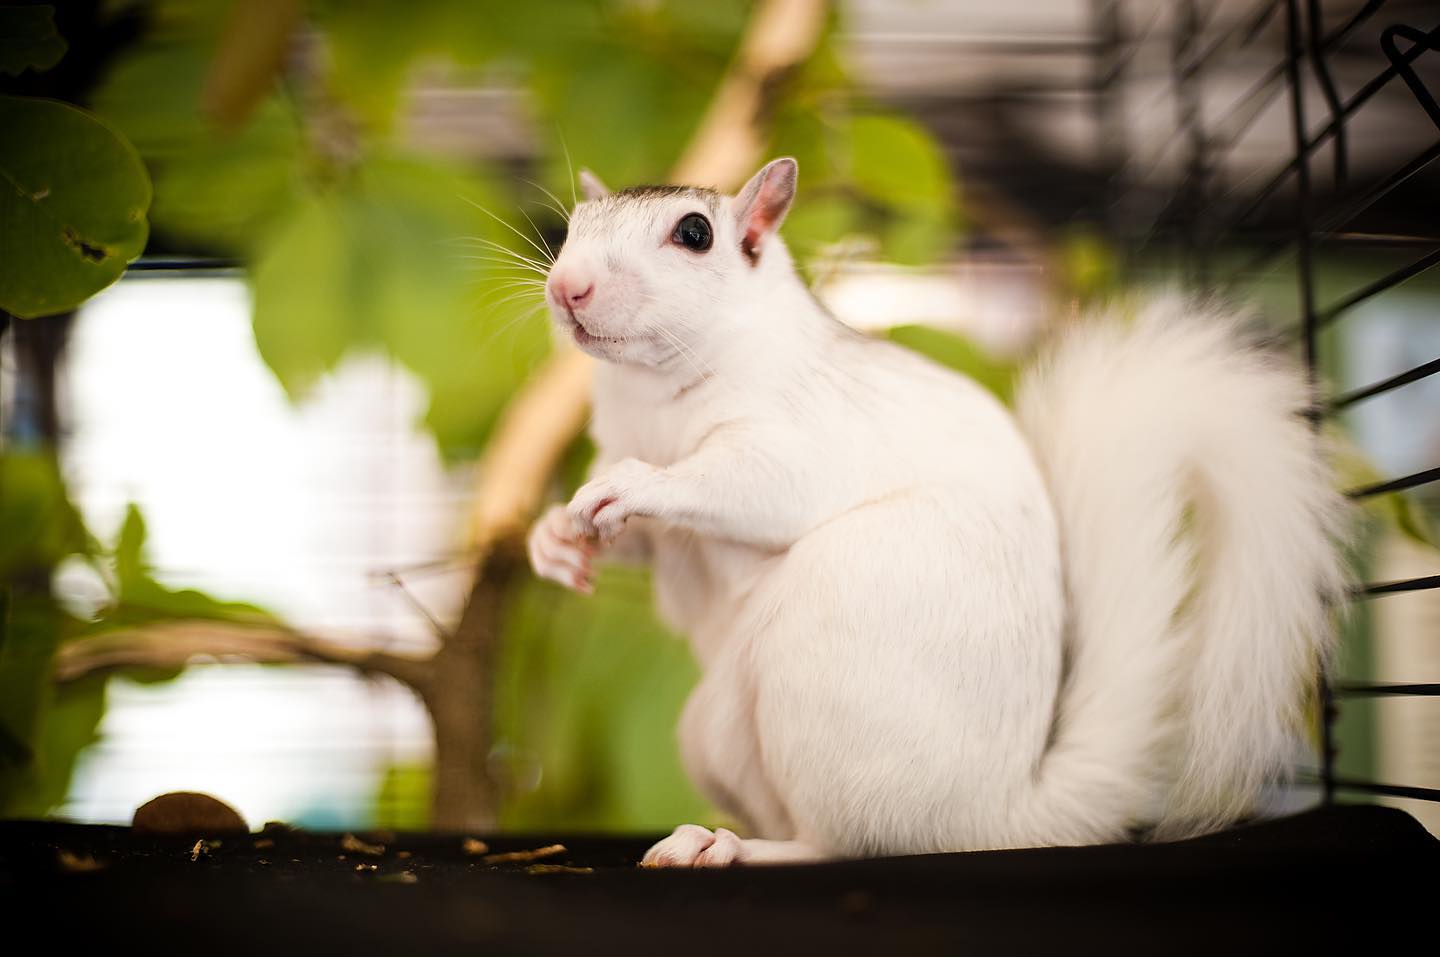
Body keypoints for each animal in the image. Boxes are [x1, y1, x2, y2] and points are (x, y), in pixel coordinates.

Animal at [527, 158, 1349, 867]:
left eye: (694, 233)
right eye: (571, 226)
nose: (567, 286)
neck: (654, 393)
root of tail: (990, 818)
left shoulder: (806, 431)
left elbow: (753, 482)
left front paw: (636, 487)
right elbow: (633, 542)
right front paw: (555, 539)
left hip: (821, 674)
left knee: (840, 841)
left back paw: (732, 847)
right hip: (712, 735)